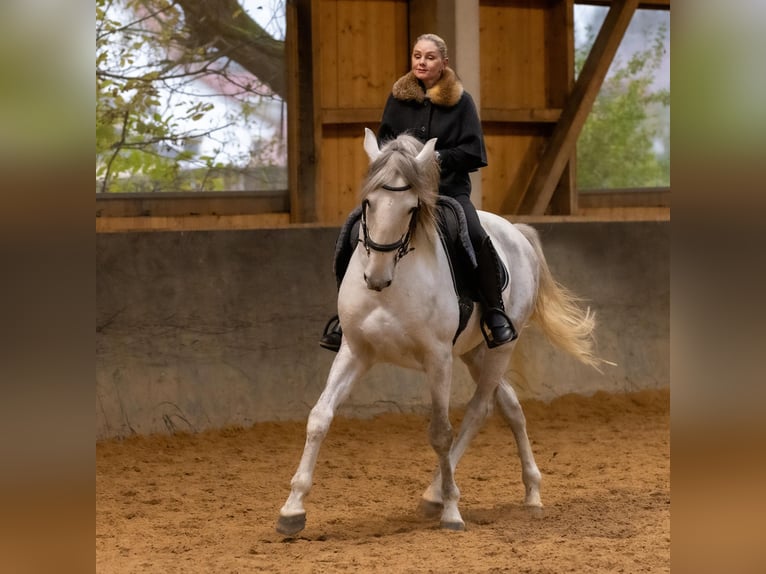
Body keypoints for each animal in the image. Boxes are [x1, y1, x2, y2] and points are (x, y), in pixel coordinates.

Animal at [280, 128, 604, 536]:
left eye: (411, 208)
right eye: (368, 202)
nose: (376, 278)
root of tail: (515, 231)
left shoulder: (437, 358)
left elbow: (440, 432)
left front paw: (451, 510)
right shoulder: (355, 350)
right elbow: (320, 417)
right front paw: (292, 508)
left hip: (498, 349)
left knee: (479, 410)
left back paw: (442, 496)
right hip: (473, 351)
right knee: (509, 406)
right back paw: (530, 492)